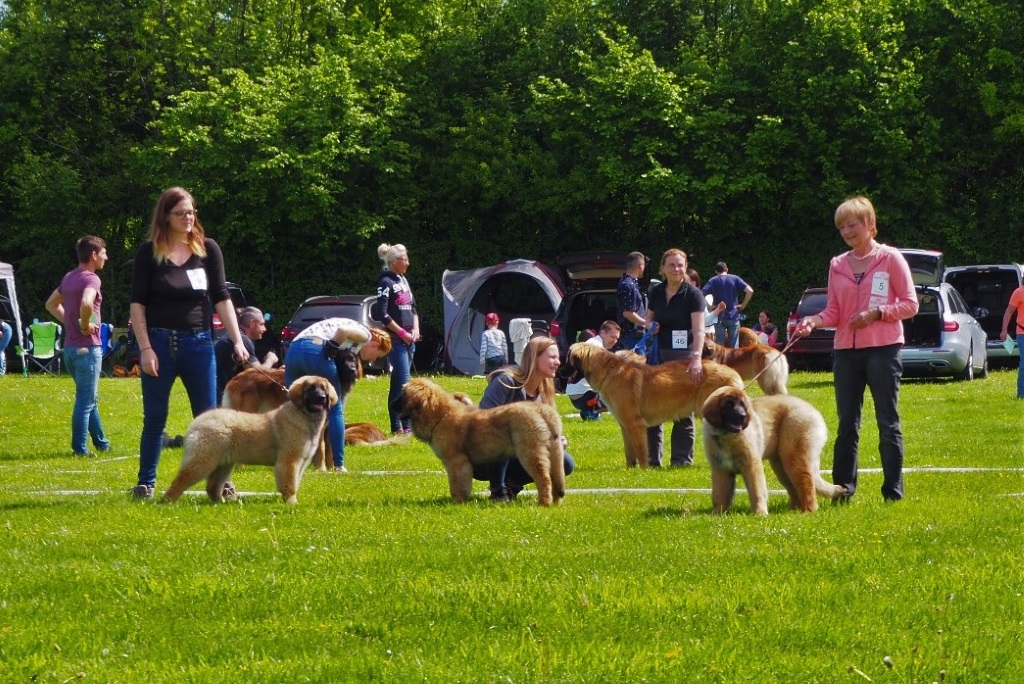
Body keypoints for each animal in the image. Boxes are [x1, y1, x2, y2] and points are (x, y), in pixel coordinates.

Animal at [159, 374, 335, 501]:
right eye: (311, 389)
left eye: (323, 389)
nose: (321, 398)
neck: (303, 415)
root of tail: (198, 421)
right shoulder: (289, 460)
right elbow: (289, 484)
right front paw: (291, 503)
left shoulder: (301, 462)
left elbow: (295, 482)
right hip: (203, 459)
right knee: (181, 479)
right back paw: (168, 501)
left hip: (224, 463)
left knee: (212, 485)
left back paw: (220, 502)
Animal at [393, 376, 569, 505]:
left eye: (402, 395)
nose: (392, 403)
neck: (439, 415)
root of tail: (540, 409)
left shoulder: (456, 462)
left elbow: (458, 483)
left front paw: (457, 502)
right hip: (553, 451)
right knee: (555, 477)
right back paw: (555, 502)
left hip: (530, 452)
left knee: (544, 478)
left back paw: (543, 503)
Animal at [561, 344, 745, 466]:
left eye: (568, 360)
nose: (558, 371)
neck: (609, 372)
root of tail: (731, 371)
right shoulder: (625, 425)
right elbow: (629, 452)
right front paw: (630, 470)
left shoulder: (635, 425)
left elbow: (640, 450)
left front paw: (644, 471)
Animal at [700, 387, 843, 516]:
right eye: (729, 405)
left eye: (742, 405)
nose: (743, 416)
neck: (726, 436)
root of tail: (812, 410)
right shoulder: (720, 470)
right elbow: (719, 494)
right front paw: (718, 514)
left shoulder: (752, 466)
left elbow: (757, 491)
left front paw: (760, 514)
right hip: (780, 466)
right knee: (794, 487)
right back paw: (793, 510)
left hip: (794, 456)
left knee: (806, 482)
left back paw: (808, 510)